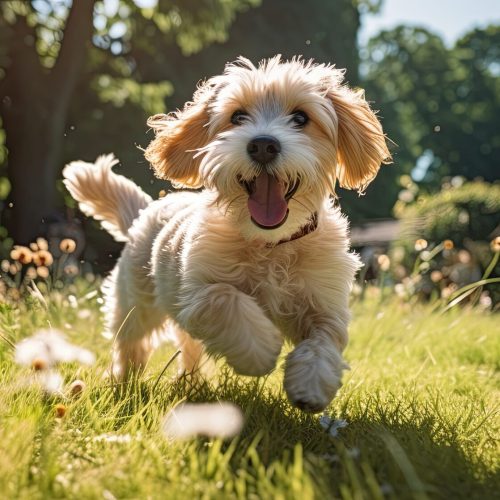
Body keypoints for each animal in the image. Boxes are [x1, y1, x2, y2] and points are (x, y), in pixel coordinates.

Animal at [63, 56, 390, 412]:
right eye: (237, 116)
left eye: (301, 117)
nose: (263, 144)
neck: (271, 244)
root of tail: (146, 210)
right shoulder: (196, 294)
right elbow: (228, 300)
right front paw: (262, 351)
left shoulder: (325, 303)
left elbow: (324, 340)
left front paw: (310, 385)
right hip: (136, 306)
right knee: (132, 346)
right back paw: (124, 385)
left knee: (189, 349)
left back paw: (192, 384)